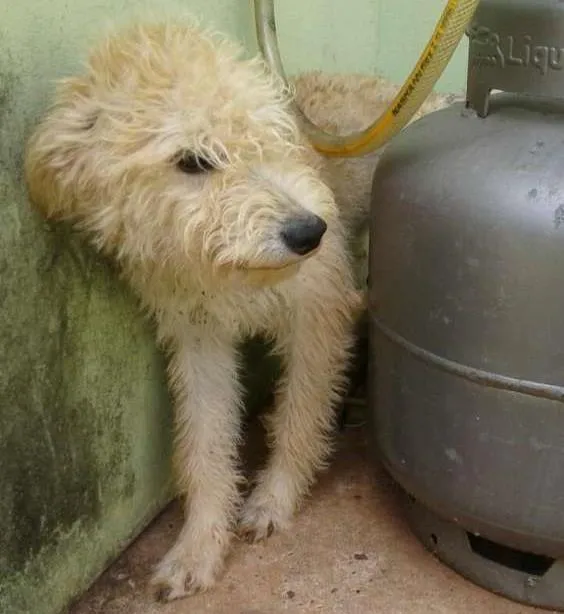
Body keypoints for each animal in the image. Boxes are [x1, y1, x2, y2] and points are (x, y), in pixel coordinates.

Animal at [24, 18, 452, 600]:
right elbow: (203, 442)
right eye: (193, 161)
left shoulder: (318, 315)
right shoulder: (198, 340)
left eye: (272, 140)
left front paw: (274, 499)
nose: (310, 232)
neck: (228, 272)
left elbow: (299, 414)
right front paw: (198, 545)